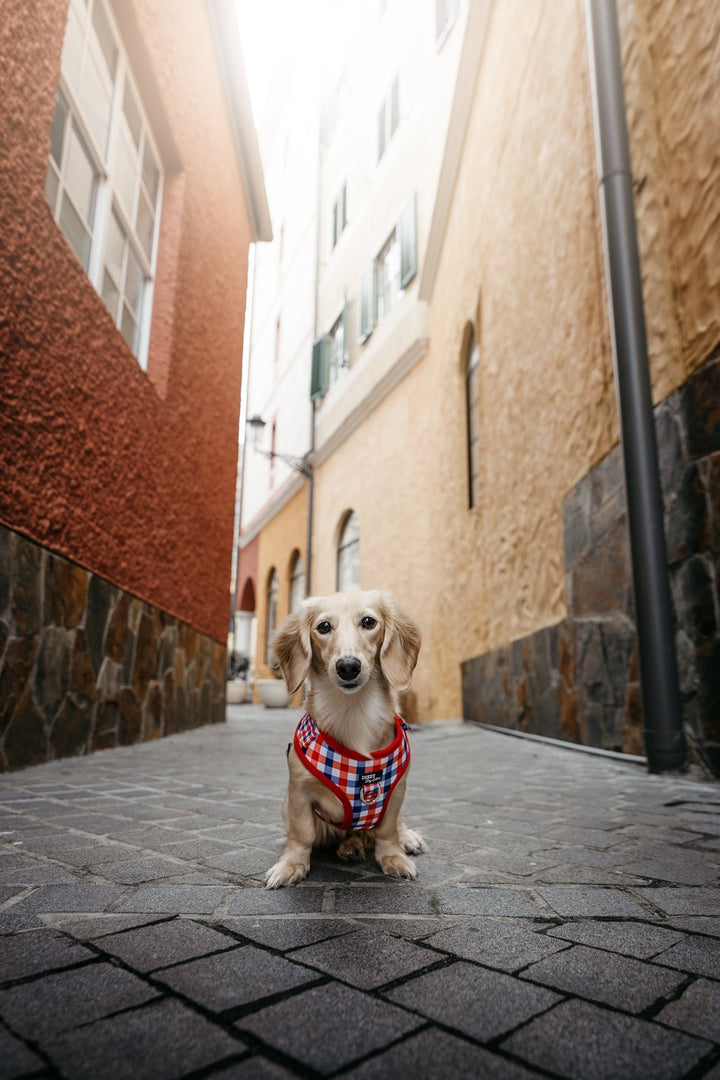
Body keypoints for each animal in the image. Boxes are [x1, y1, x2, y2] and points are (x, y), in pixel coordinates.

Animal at [264, 591, 425, 885]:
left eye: (369, 622)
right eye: (324, 626)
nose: (348, 666)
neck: (354, 713)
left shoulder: (396, 792)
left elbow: (388, 830)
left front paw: (393, 856)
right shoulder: (298, 794)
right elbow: (301, 834)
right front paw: (291, 864)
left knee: (393, 825)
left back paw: (405, 838)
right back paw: (350, 847)